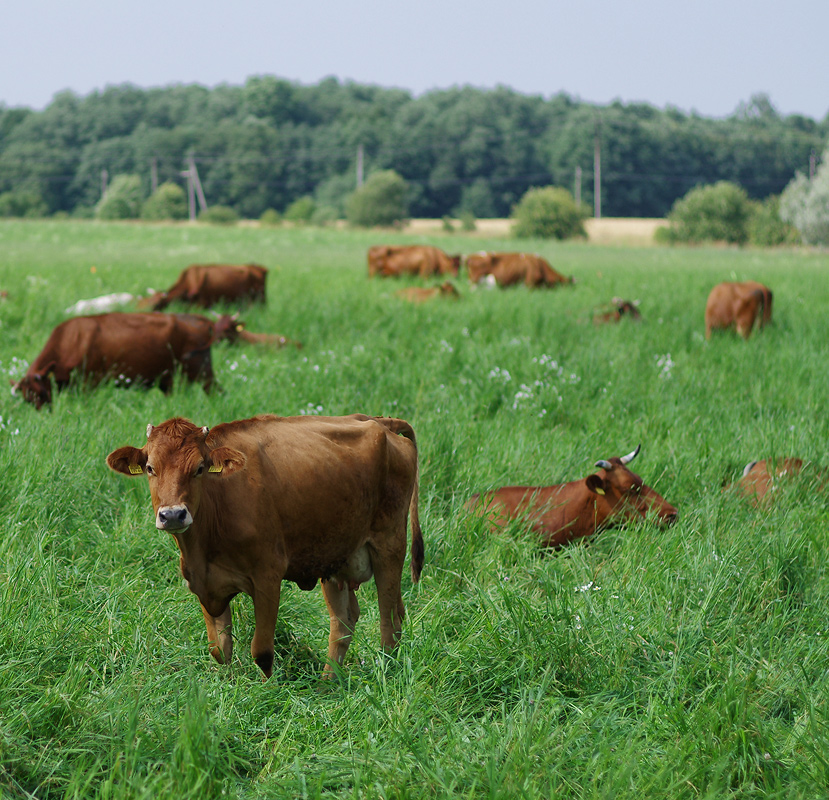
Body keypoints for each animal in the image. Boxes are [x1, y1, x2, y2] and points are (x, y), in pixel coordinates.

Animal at [106, 412, 424, 680]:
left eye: (199, 468)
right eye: (150, 468)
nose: (173, 515)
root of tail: (378, 421)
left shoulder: (268, 576)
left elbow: (262, 650)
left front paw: (269, 694)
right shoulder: (204, 583)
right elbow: (219, 648)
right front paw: (228, 687)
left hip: (389, 545)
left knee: (390, 621)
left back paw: (385, 676)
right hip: (335, 556)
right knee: (343, 622)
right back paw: (327, 684)